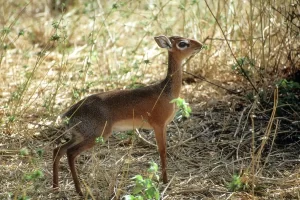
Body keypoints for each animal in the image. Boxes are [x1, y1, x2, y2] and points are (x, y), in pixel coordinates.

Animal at [52, 35, 203, 195]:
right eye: (182, 43)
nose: (200, 45)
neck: (166, 91)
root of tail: (69, 114)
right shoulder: (158, 125)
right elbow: (162, 151)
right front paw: (165, 181)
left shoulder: (164, 126)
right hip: (96, 136)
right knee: (70, 153)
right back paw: (79, 190)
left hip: (79, 135)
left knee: (58, 149)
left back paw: (56, 187)